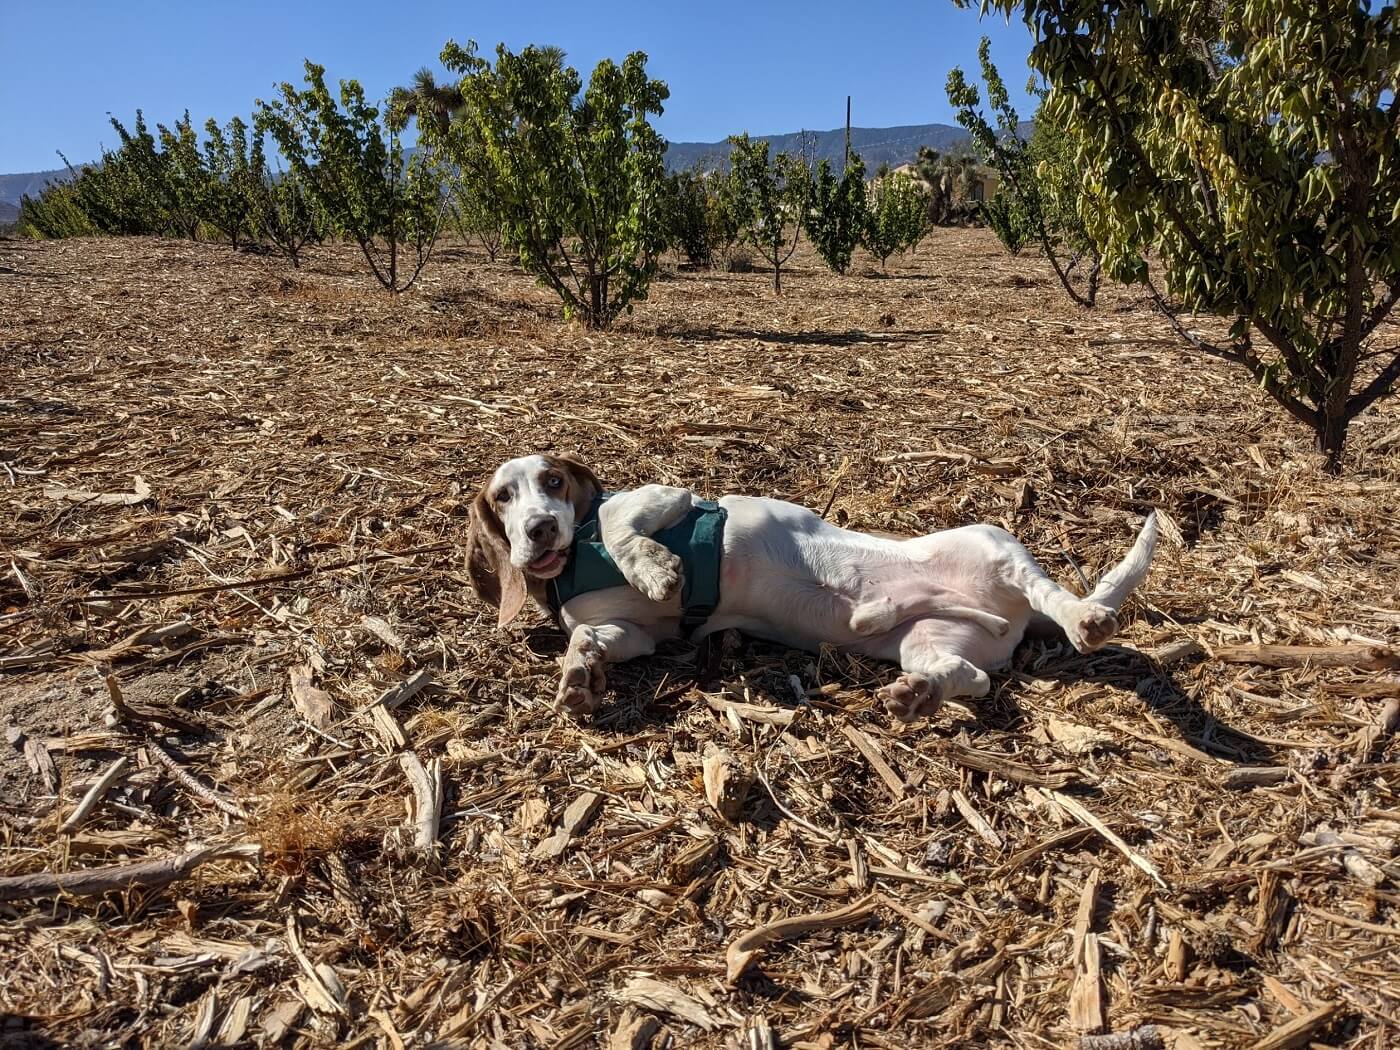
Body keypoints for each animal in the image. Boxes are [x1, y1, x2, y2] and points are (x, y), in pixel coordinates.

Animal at [470, 453, 1159, 722]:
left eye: (554, 482)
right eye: (503, 497)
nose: (538, 528)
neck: (572, 558)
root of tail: (1009, 613)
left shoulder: (662, 498)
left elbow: (620, 528)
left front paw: (656, 570)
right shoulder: (644, 635)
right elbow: (591, 633)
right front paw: (580, 673)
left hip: (995, 545)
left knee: (1054, 595)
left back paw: (1084, 619)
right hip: (931, 638)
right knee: (974, 678)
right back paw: (919, 695)